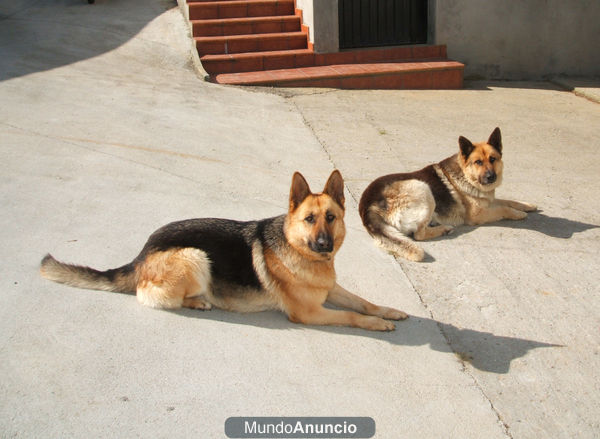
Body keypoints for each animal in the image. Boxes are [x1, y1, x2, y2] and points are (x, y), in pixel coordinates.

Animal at [41, 170, 408, 332]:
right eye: (309, 219)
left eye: (331, 218)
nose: (324, 245)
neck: (298, 250)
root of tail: (141, 254)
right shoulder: (308, 313)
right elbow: (351, 315)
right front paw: (377, 324)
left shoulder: (331, 289)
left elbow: (364, 302)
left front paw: (390, 312)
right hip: (195, 256)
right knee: (152, 297)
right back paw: (199, 301)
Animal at [358, 129, 536, 262]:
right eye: (478, 162)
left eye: (493, 159)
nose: (491, 177)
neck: (466, 174)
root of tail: (367, 206)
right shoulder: (478, 215)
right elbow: (503, 208)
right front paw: (519, 214)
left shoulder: (488, 200)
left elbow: (508, 201)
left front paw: (528, 205)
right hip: (423, 188)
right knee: (418, 235)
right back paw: (443, 229)